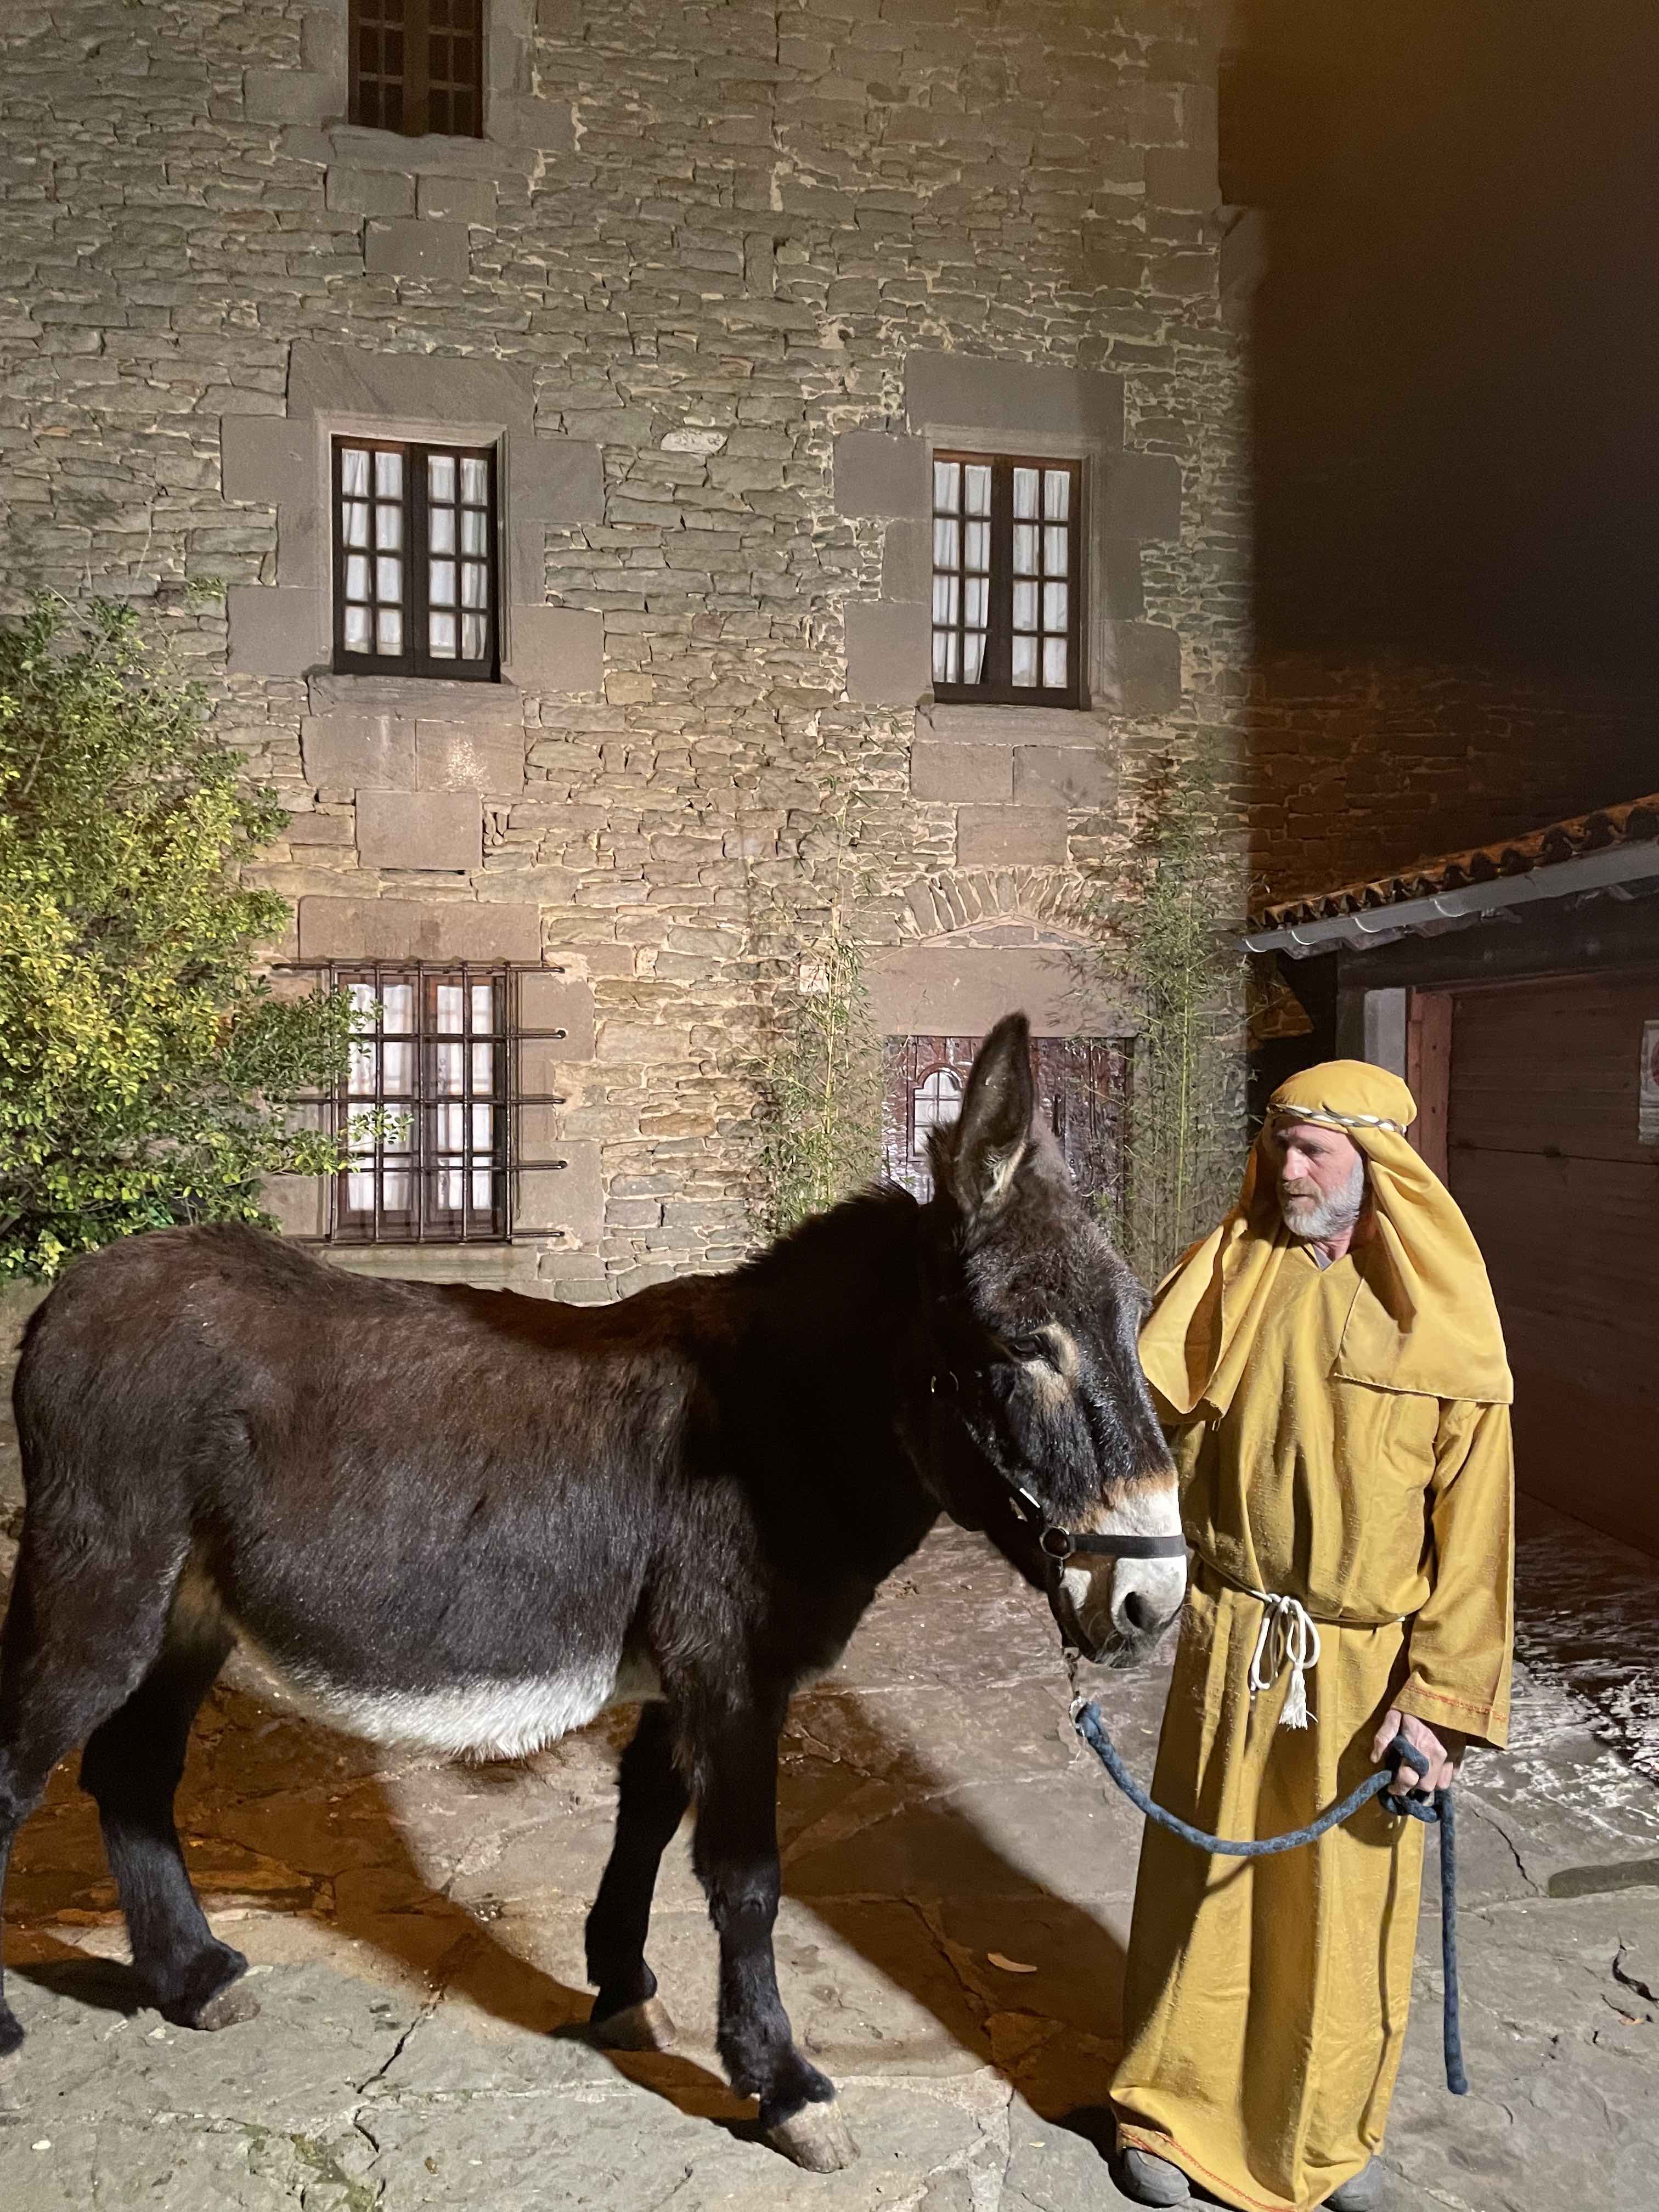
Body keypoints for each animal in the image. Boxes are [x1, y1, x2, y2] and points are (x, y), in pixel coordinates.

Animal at [0, 1013, 1183, 2172]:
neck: (774, 1422)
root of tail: (72, 1291)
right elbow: (745, 1875)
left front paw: (621, 1987)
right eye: (1024, 1344)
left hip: (189, 1613)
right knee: (27, 1767)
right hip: (102, 1584)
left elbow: (648, 1816)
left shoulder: (685, 1673)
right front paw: (782, 2083)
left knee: (130, 1771)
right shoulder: (734, 1673)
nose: (1154, 1601)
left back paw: (193, 1977)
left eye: (1136, 1320)